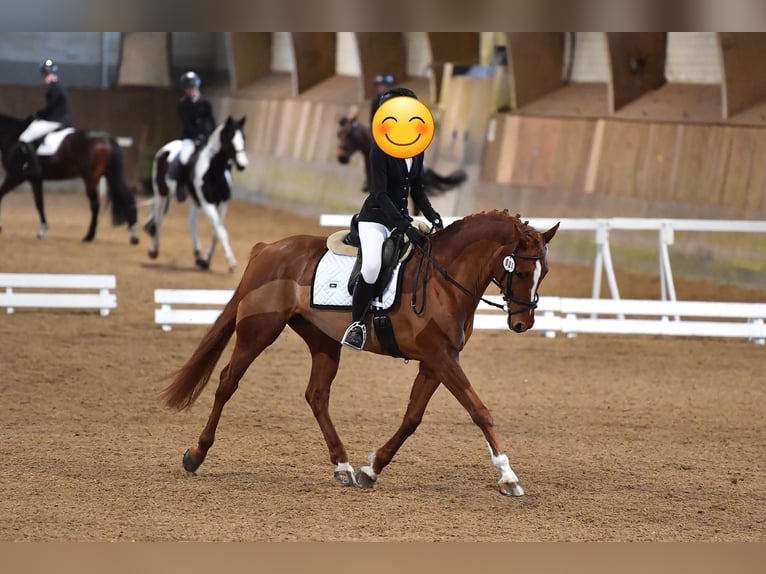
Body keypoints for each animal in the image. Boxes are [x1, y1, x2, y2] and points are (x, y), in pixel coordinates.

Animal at [0, 113, 138, 244]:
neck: (12, 139)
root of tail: (105, 138)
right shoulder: (35, 180)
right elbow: (40, 204)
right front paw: (42, 231)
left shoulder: (15, 175)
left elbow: (1, 194)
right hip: (109, 174)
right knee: (126, 196)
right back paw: (133, 236)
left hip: (91, 178)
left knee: (95, 205)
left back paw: (89, 236)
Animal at [144, 116, 248, 273]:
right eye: (230, 138)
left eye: (244, 137)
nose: (243, 165)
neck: (214, 170)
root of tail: (165, 149)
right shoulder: (207, 202)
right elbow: (221, 232)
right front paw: (232, 263)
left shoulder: (222, 203)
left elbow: (216, 232)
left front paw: (205, 261)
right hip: (161, 192)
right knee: (158, 219)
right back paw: (154, 250)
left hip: (194, 199)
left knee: (191, 222)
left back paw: (198, 253)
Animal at [159, 210, 559, 497]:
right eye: (521, 270)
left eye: (545, 272)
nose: (522, 323)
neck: (444, 281)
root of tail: (268, 248)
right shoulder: (442, 359)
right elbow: (480, 412)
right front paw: (508, 477)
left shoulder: (434, 363)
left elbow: (411, 419)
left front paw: (372, 469)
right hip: (259, 331)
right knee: (228, 382)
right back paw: (195, 455)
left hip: (322, 341)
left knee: (317, 396)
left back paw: (343, 467)